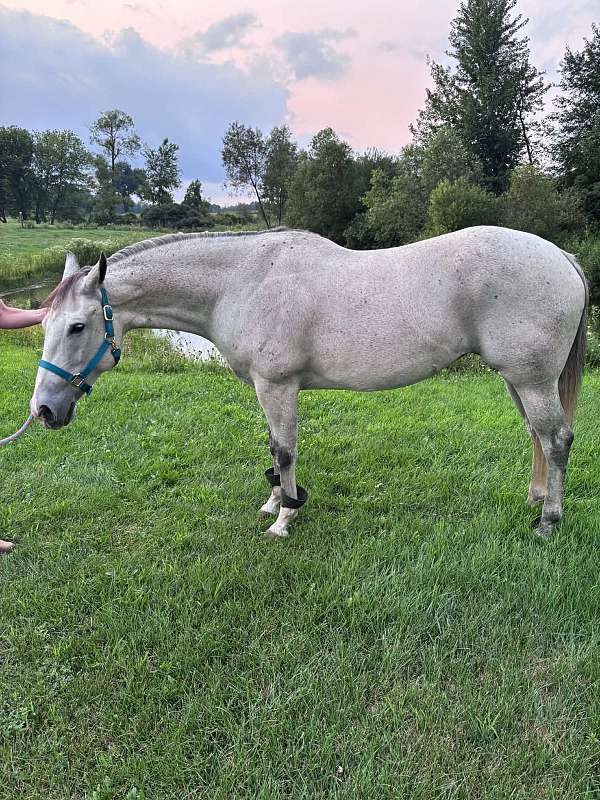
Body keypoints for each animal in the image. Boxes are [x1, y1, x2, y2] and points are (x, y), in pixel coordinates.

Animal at [30, 226, 588, 539]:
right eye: (42, 322)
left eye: (76, 327)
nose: (43, 411)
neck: (243, 282)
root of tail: (563, 257)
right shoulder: (266, 387)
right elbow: (274, 450)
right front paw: (274, 501)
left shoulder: (277, 386)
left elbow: (284, 451)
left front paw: (284, 518)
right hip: (519, 380)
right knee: (537, 436)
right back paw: (536, 499)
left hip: (532, 380)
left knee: (557, 439)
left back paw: (548, 521)